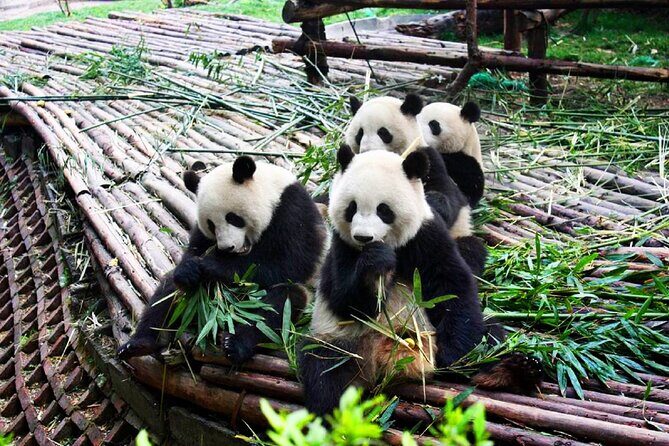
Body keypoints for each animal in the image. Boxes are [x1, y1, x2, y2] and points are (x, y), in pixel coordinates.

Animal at [117, 156, 326, 363]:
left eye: (233, 218)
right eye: (211, 224)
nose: (227, 248)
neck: (272, 191)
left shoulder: (293, 212)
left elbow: (289, 263)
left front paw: (213, 266)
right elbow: (193, 252)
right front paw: (191, 268)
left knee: (279, 304)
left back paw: (235, 345)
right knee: (167, 290)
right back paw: (138, 344)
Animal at [299, 146, 541, 415]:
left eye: (383, 210)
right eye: (351, 208)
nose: (363, 237)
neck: (392, 246)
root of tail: (389, 356)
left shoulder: (426, 235)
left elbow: (452, 285)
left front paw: (453, 355)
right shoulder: (341, 246)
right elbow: (344, 299)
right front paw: (376, 265)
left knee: (488, 338)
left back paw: (513, 369)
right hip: (344, 341)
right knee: (327, 372)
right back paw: (337, 414)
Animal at [344, 94, 486, 276]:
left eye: (383, 132)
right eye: (360, 133)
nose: (367, 150)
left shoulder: (428, 158)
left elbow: (447, 191)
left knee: (471, 249)